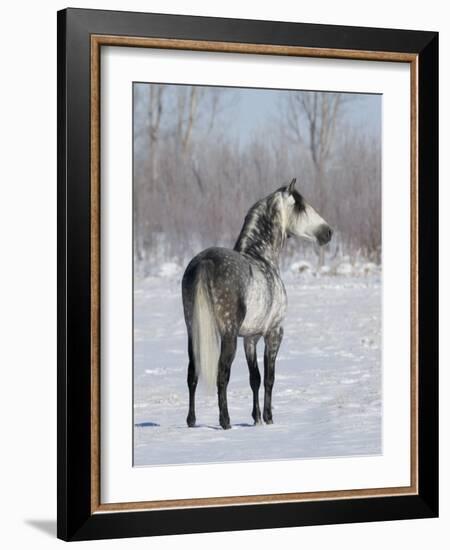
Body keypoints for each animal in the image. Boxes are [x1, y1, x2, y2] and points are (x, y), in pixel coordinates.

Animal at [181, 180, 332, 432]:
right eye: (300, 206)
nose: (328, 232)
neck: (263, 258)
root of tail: (205, 261)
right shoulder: (274, 333)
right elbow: (269, 377)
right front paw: (268, 418)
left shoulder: (250, 338)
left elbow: (255, 378)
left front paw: (257, 418)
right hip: (228, 335)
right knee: (222, 375)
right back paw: (225, 422)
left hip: (193, 331)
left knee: (192, 373)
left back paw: (191, 421)